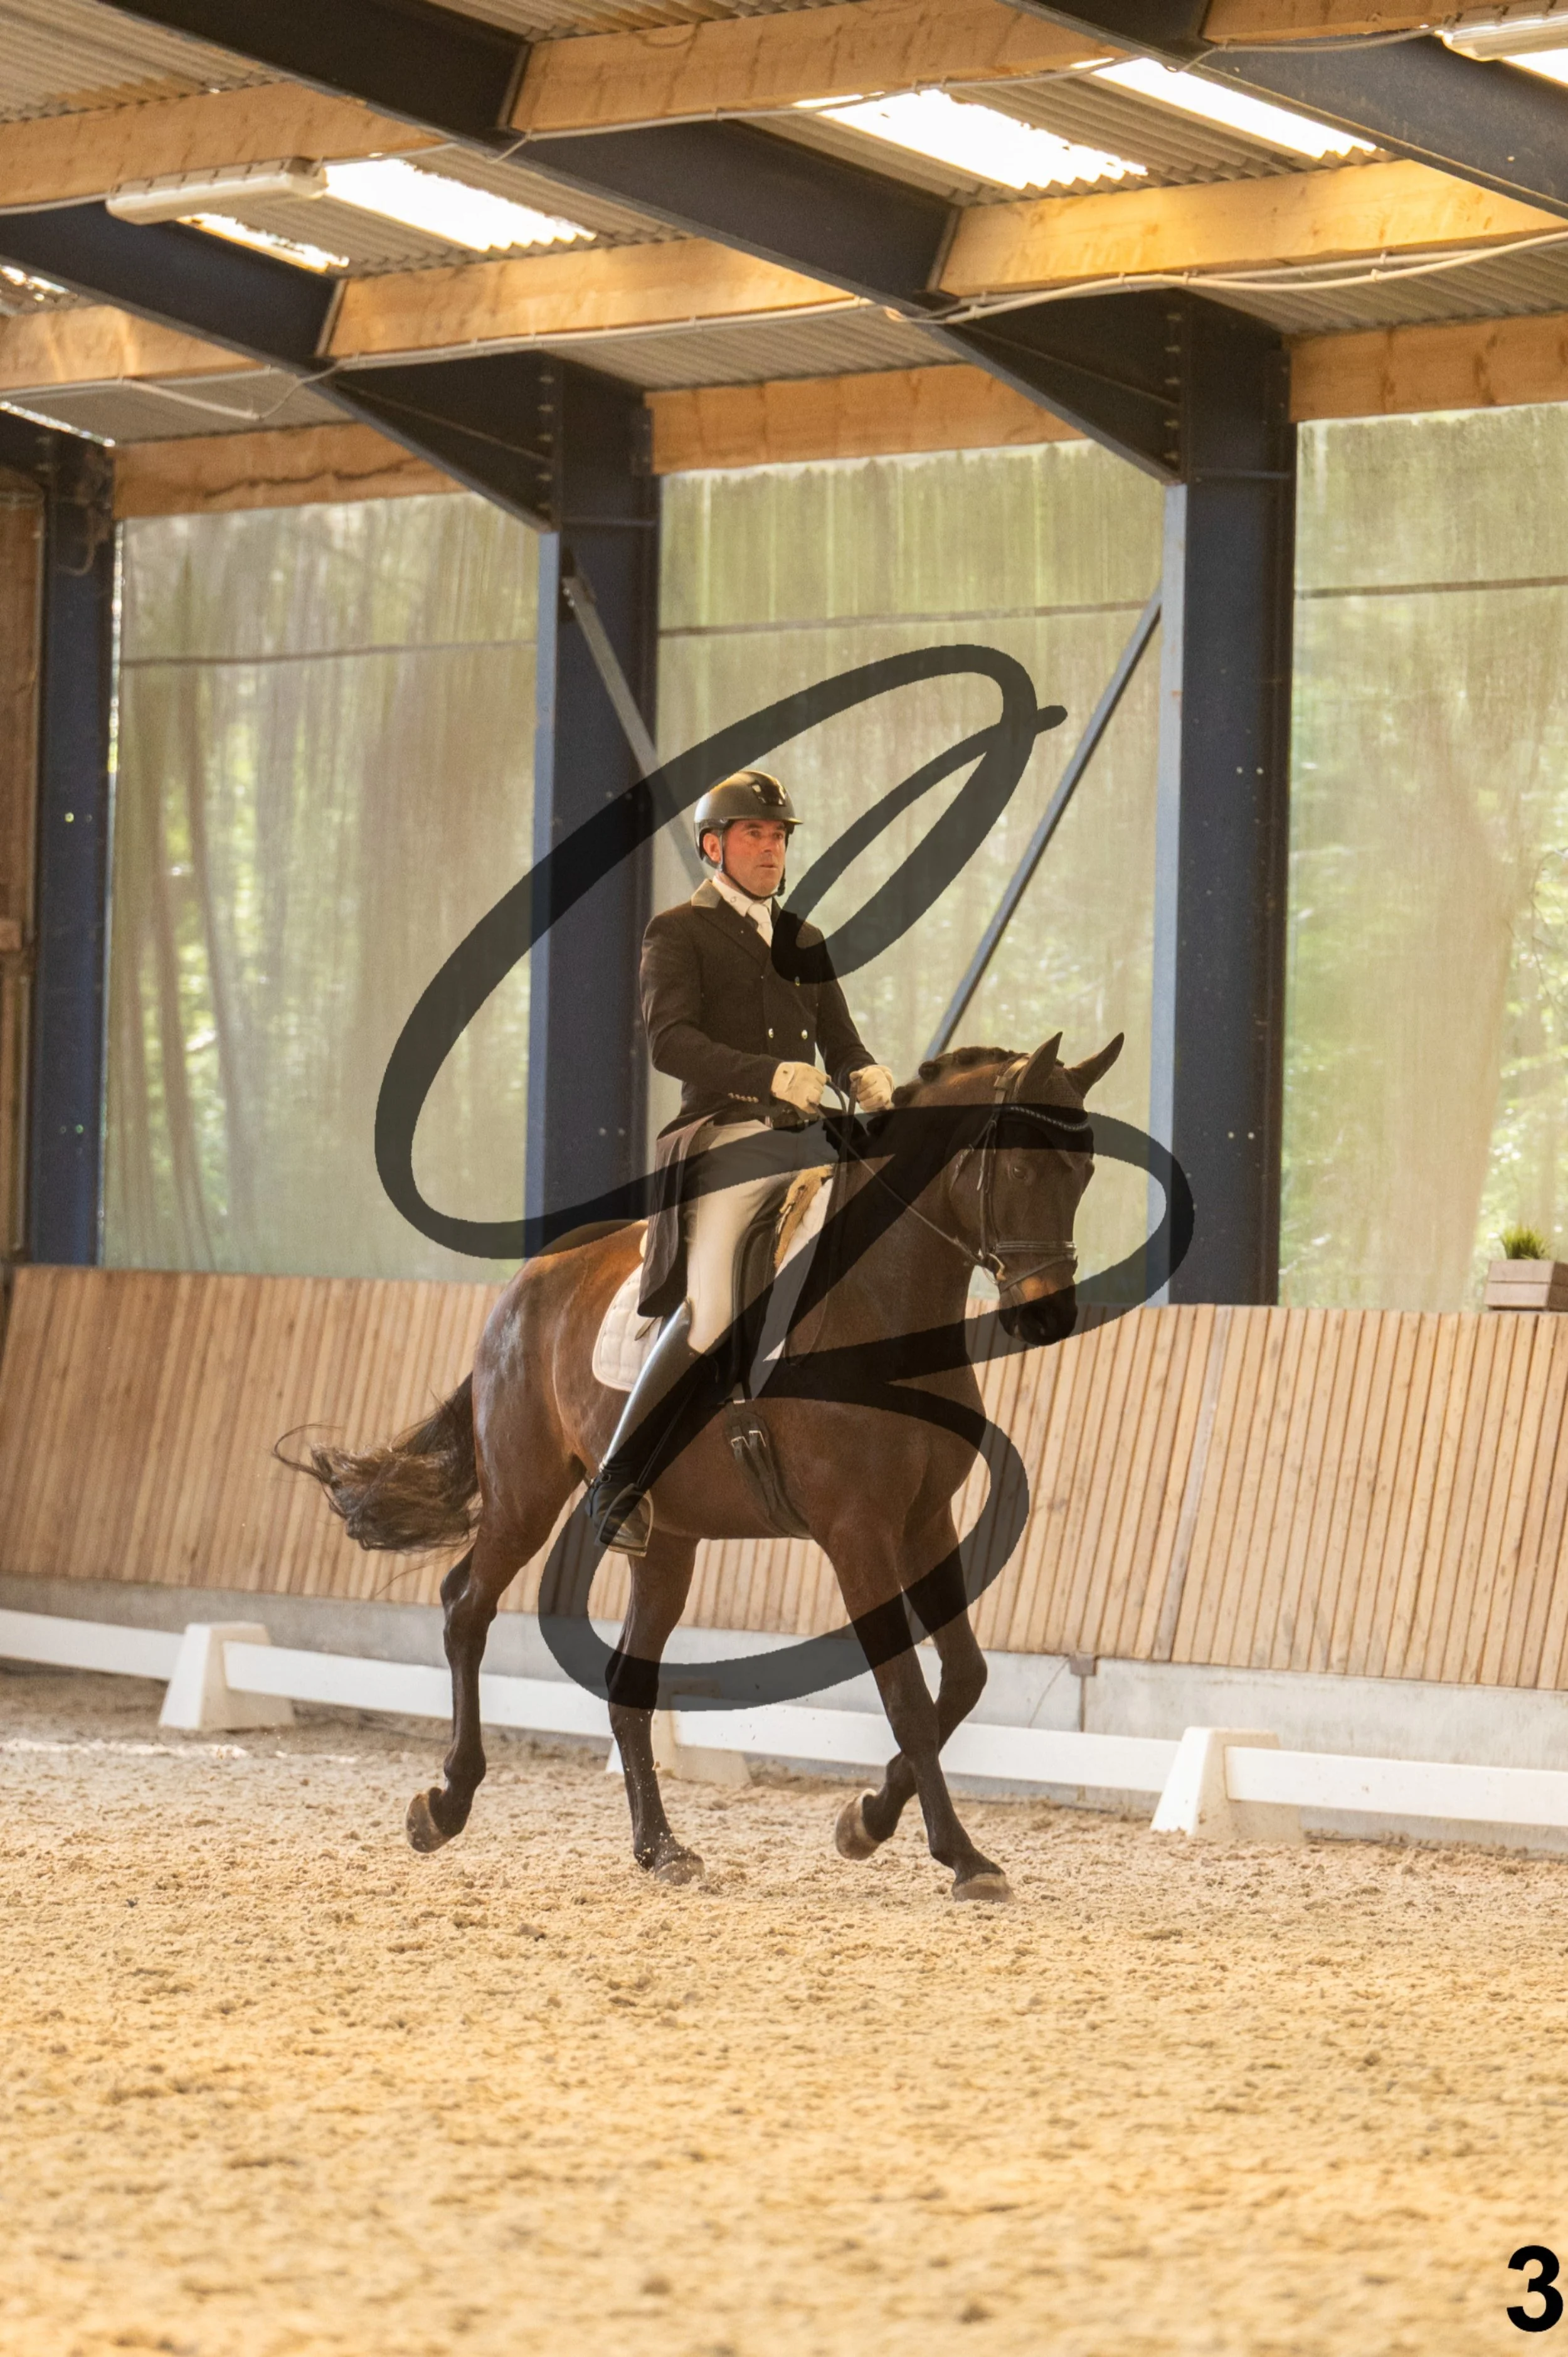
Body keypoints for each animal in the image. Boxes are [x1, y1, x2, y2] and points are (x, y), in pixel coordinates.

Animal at [297, 1030, 1122, 1902]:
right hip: (526, 1495)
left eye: (1084, 1172)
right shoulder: (858, 1534)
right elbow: (906, 1696)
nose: (1049, 1315)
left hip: (668, 1542)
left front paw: (866, 1821)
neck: (880, 1306)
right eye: (1023, 1169)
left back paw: (660, 1846)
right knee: (466, 1606)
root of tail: (526, 1284)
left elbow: (961, 1680)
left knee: (627, 1678)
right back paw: (446, 1803)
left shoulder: (925, 1520)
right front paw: (961, 1855)